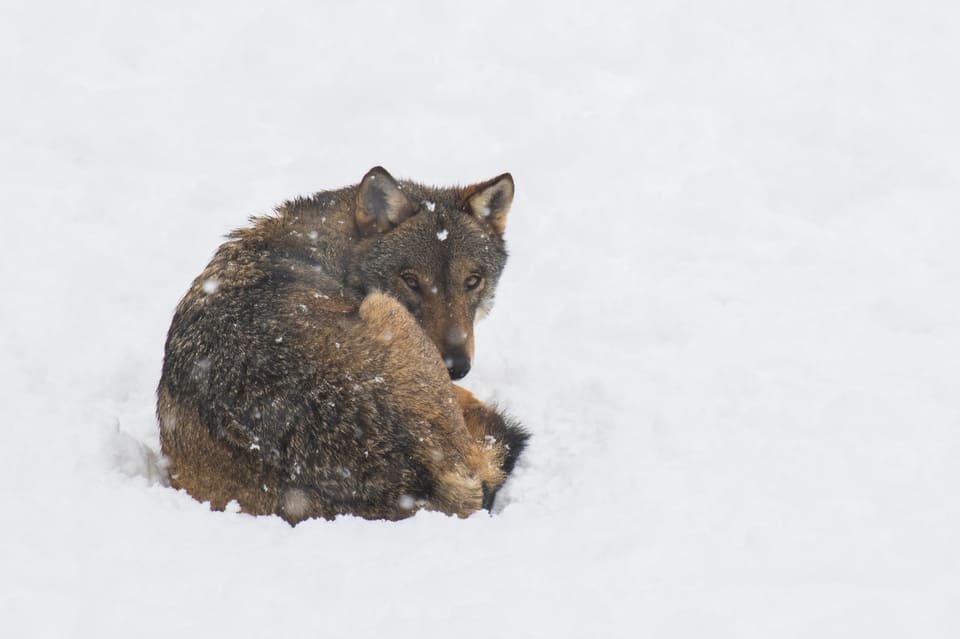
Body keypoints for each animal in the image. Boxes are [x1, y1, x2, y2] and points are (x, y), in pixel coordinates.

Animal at [157, 167, 528, 524]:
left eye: (472, 281)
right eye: (410, 280)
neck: (337, 251)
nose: (456, 366)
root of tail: (412, 482)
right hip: (384, 307)